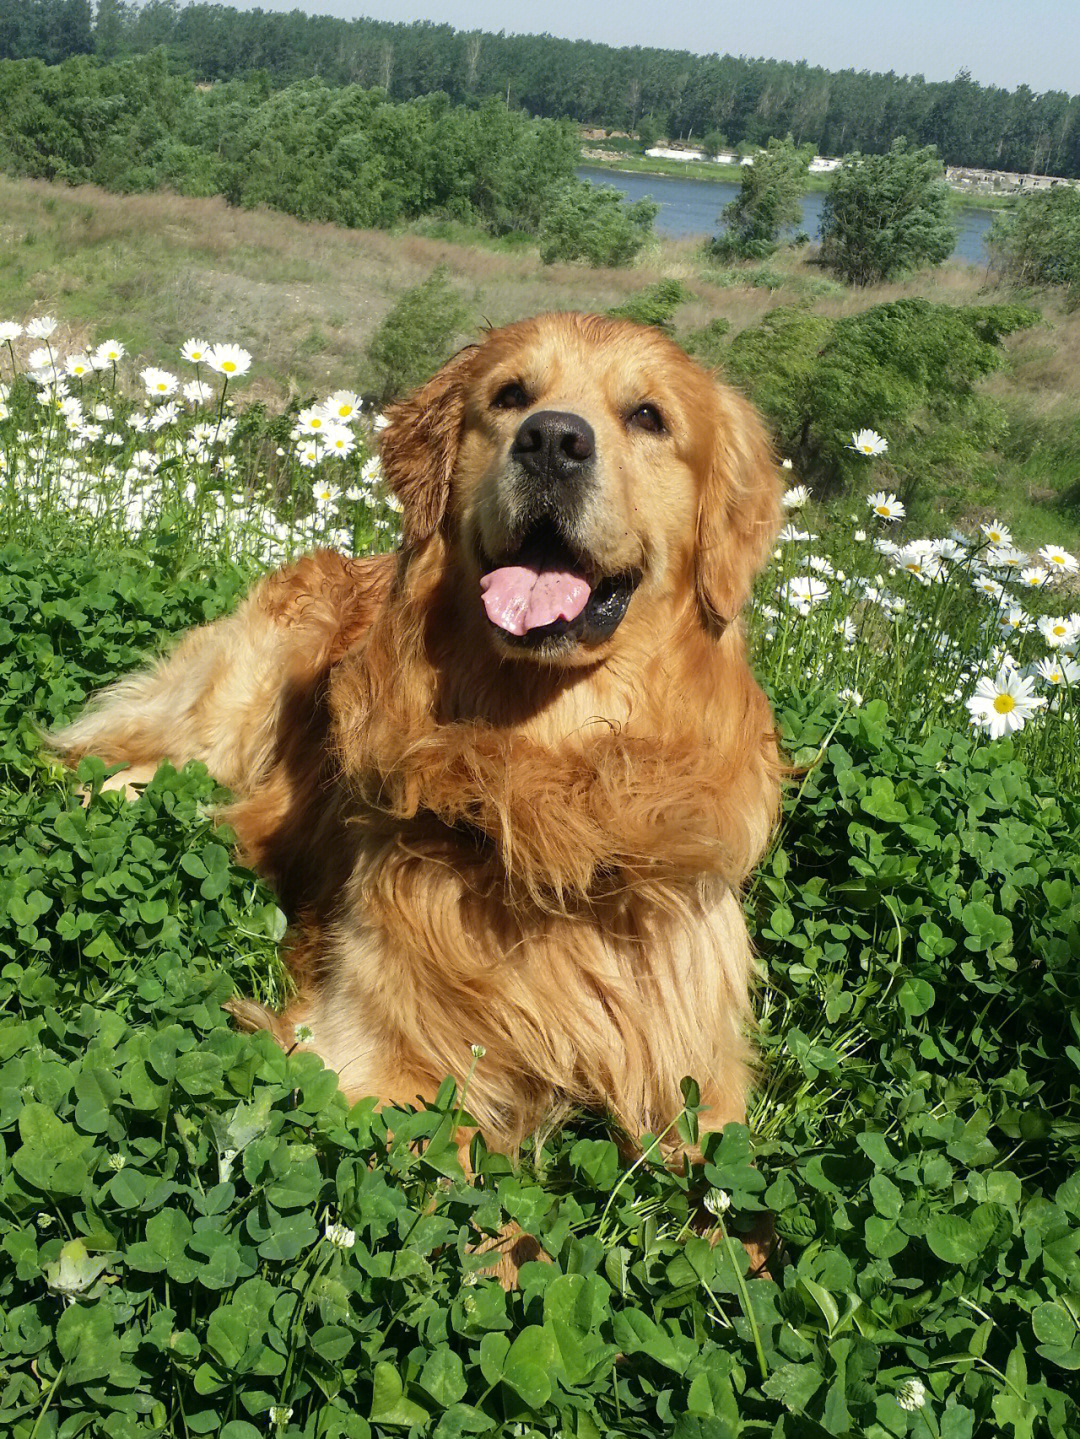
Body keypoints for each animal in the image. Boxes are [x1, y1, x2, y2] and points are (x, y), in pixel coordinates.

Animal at [55, 315, 782, 1168]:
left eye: (648, 416)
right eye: (509, 396)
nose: (552, 441)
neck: (549, 764)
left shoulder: (697, 1068)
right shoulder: (368, 1054)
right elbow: (457, 1175)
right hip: (222, 719)